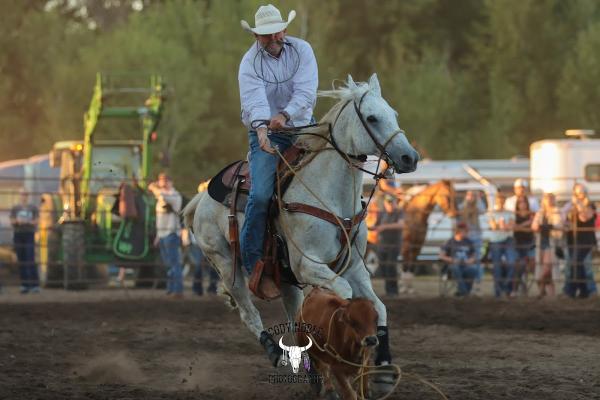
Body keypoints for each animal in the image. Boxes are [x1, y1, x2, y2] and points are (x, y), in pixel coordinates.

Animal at [183, 75, 418, 372]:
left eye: (393, 114)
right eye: (372, 118)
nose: (410, 157)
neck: (331, 197)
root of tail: (201, 197)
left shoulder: (354, 266)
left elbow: (380, 306)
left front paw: (384, 358)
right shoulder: (308, 265)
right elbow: (345, 293)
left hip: (284, 279)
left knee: (295, 320)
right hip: (227, 266)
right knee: (250, 314)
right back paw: (274, 352)